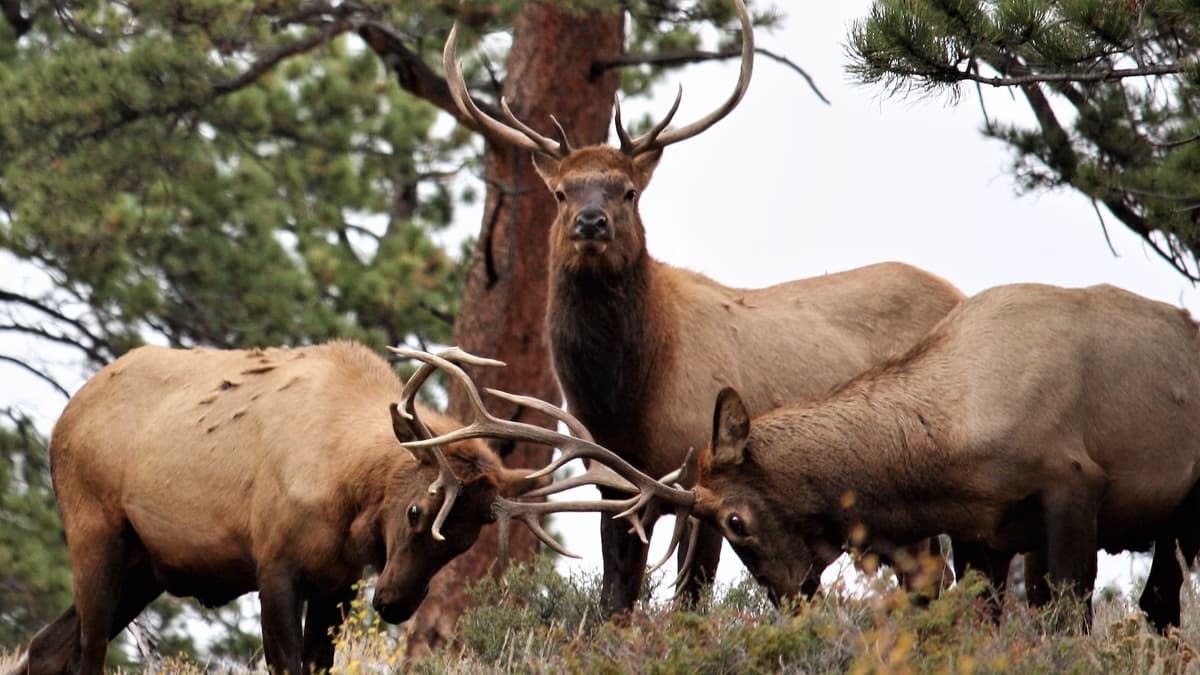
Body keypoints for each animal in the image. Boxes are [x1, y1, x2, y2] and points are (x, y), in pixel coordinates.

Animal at [9, 341, 672, 672]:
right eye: (416, 512)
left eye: (465, 541)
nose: (396, 603)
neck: (345, 495)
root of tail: (65, 416)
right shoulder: (274, 564)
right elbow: (285, 664)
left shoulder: (337, 580)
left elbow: (318, 663)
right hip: (94, 529)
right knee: (87, 654)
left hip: (147, 565)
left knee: (46, 648)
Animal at [444, 0, 964, 612]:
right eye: (560, 192)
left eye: (628, 192)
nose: (591, 222)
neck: (625, 400)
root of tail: (958, 292)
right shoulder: (613, 482)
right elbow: (615, 599)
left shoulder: (699, 472)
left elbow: (690, 596)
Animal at [657, 281, 1200, 629]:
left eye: (735, 521)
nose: (790, 600)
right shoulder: (983, 533)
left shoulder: (1074, 483)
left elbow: (1067, 617)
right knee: (1159, 600)